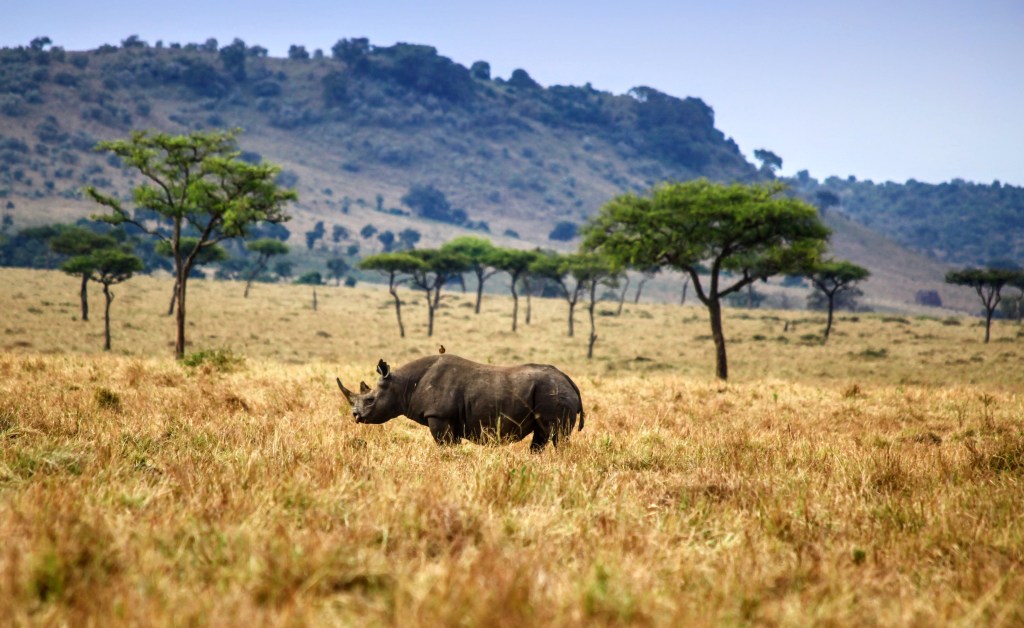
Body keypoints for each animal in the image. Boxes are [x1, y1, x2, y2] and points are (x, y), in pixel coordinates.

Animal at [336, 354, 584, 451]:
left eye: (370, 400)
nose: (355, 416)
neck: (401, 384)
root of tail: (569, 381)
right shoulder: (450, 420)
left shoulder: (439, 416)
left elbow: (444, 445)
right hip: (550, 391)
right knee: (542, 435)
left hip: (553, 393)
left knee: (557, 435)